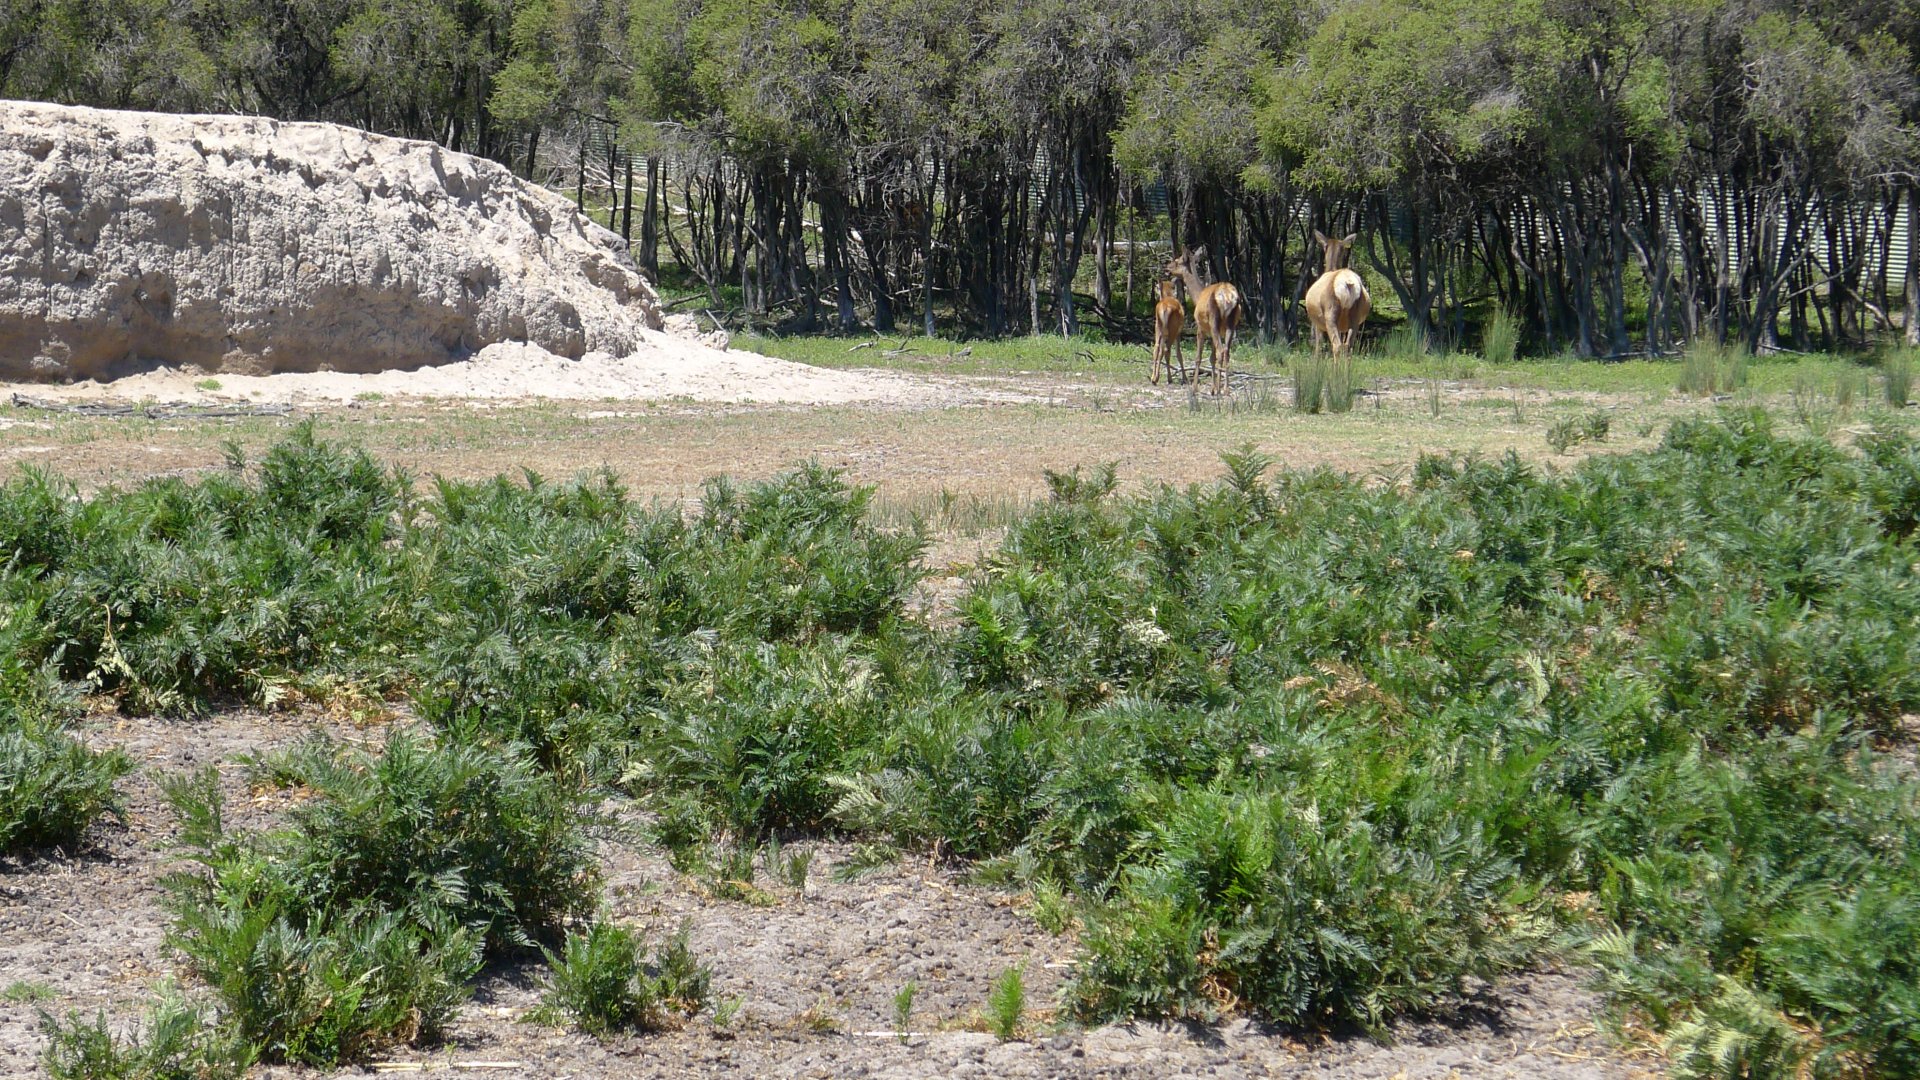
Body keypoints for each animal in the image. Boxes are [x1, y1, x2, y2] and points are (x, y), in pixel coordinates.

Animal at [1165, 247, 1242, 395]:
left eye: (1177, 261)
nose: (1167, 267)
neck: (1197, 296)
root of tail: (1229, 297)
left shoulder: (1201, 327)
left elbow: (1198, 357)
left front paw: (1195, 387)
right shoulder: (1212, 332)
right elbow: (1211, 358)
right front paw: (1212, 388)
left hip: (1214, 321)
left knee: (1221, 351)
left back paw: (1220, 389)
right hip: (1230, 324)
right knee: (1226, 351)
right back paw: (1225, 389)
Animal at [1304, 230, 1371, 361]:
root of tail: (1348, 283)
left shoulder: (1317, 323)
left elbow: (1318, 347)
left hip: (1330, 313)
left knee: (1337, 345)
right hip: (1355, 315)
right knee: (1348, 346)